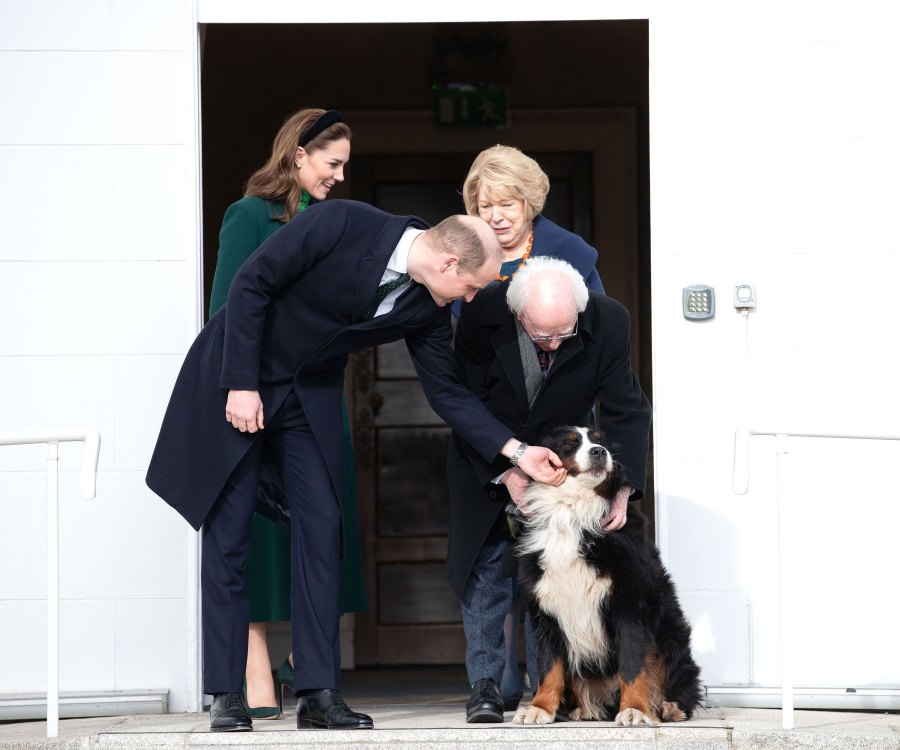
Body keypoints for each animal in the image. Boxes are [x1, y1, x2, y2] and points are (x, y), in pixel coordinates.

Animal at [512, 426, 704, 724]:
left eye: (601, 441)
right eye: (569, 444)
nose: (599, 452)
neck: (573, 513)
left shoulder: (628, 604)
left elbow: (633, 663)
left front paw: (635, 709)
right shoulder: (547, 612)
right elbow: (549, 666)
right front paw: (539, 707)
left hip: (671, 637)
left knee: (679, 682)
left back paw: (667, 707)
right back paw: (582, 709)